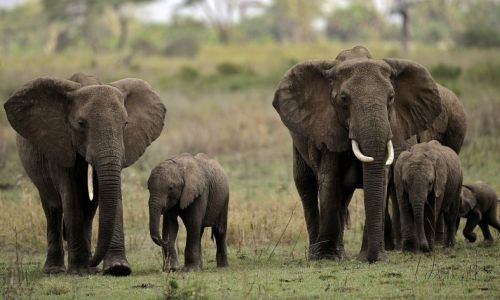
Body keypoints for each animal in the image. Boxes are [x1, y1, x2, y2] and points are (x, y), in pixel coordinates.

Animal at [3, 73, 166, 276]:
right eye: (81, 124)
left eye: (125, 124)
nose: (93, 263)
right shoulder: (60, 144)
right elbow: (71, 198)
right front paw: (80, 271)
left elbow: (113, 194)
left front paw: (118, 268)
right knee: (52, 208)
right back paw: (56, 269)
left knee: (88, 210)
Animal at [274, 45, 454, 262]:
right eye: (343, 99)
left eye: (391, 98)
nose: (374, 259)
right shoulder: (328, 127)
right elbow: (329, 181)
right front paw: (327, 258)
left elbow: (380, 181)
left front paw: (369, 257)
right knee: (306, 184)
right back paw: (317, 255)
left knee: (344, 196)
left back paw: (341, 253)